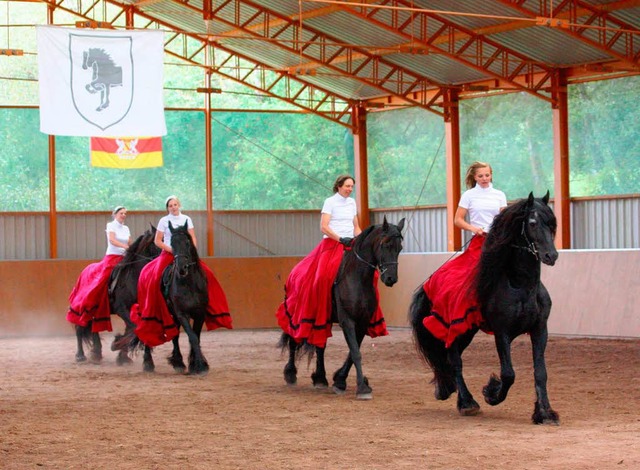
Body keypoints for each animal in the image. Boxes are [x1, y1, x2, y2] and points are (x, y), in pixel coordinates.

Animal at [74, 226, 160, 366]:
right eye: (159, 241)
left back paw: (96, 354)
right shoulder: (122, 309)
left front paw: (122, 356)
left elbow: (131, 330)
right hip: (83, 307)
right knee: (78, 327)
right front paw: (116, 345)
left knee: (93, 328)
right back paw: (80, 356)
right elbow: (133, 328)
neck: (133, 277)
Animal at [276, 218, 402, 400]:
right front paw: (361, 388)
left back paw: (320, 378)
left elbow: (352, 352)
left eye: (400, 248)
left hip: (323, 319)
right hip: (297, 314)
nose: (391, 278)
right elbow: (355, 352)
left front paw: (340, 380)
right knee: (294, 340)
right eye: (385, 244)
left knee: (320, 346)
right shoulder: (347, 320)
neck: (358, 278)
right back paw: (291, 374)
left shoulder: (362, 322)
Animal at [412, 193, 556, 424]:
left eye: (551, 223)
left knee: (449, 361)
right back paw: (467, 403)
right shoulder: (502, 332)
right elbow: (508, 374)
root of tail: (430, 281)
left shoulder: (540, 329)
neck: (520, 285)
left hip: (467, 331)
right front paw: (492, 393)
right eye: (532, 223)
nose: (551, 255)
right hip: (455, 329)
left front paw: (545, 413)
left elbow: (541, 373)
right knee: (455, 361)